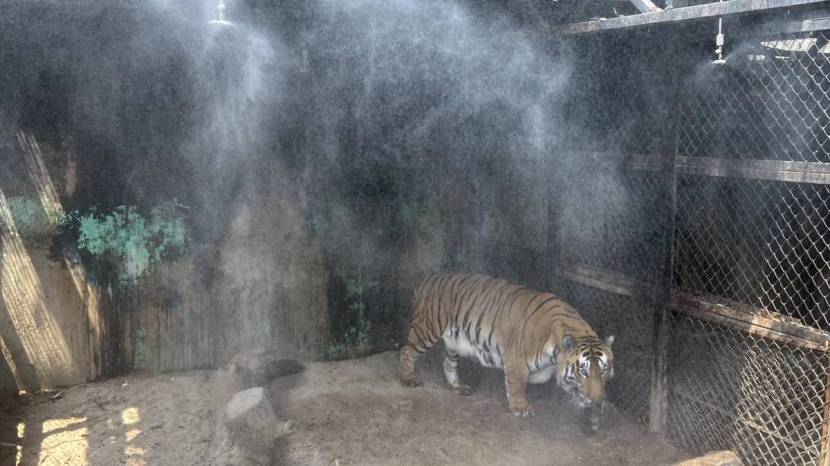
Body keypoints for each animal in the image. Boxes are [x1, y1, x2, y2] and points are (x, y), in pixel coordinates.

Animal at [400, 272, 616, 416]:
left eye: (603, 370)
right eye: (583, 371)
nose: (596, 401)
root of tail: (428, 278)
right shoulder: (515, 359)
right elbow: (517, 384)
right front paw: (520, 408)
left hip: (454, 342)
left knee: (448, 362)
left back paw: (458, 386)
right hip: (426, 330)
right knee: (406, 351)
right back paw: (408, 378)